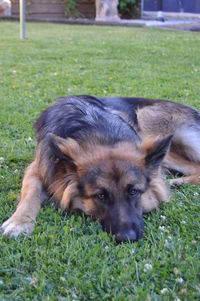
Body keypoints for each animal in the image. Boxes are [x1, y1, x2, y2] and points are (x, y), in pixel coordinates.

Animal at [1, 96, 200, 241]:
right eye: (100, 196)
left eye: (134, 192)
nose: (127, 238)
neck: (96, 130)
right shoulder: (38, 168)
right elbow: (30, 193)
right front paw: (19, 221)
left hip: (147, 118)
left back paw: (176, 181)